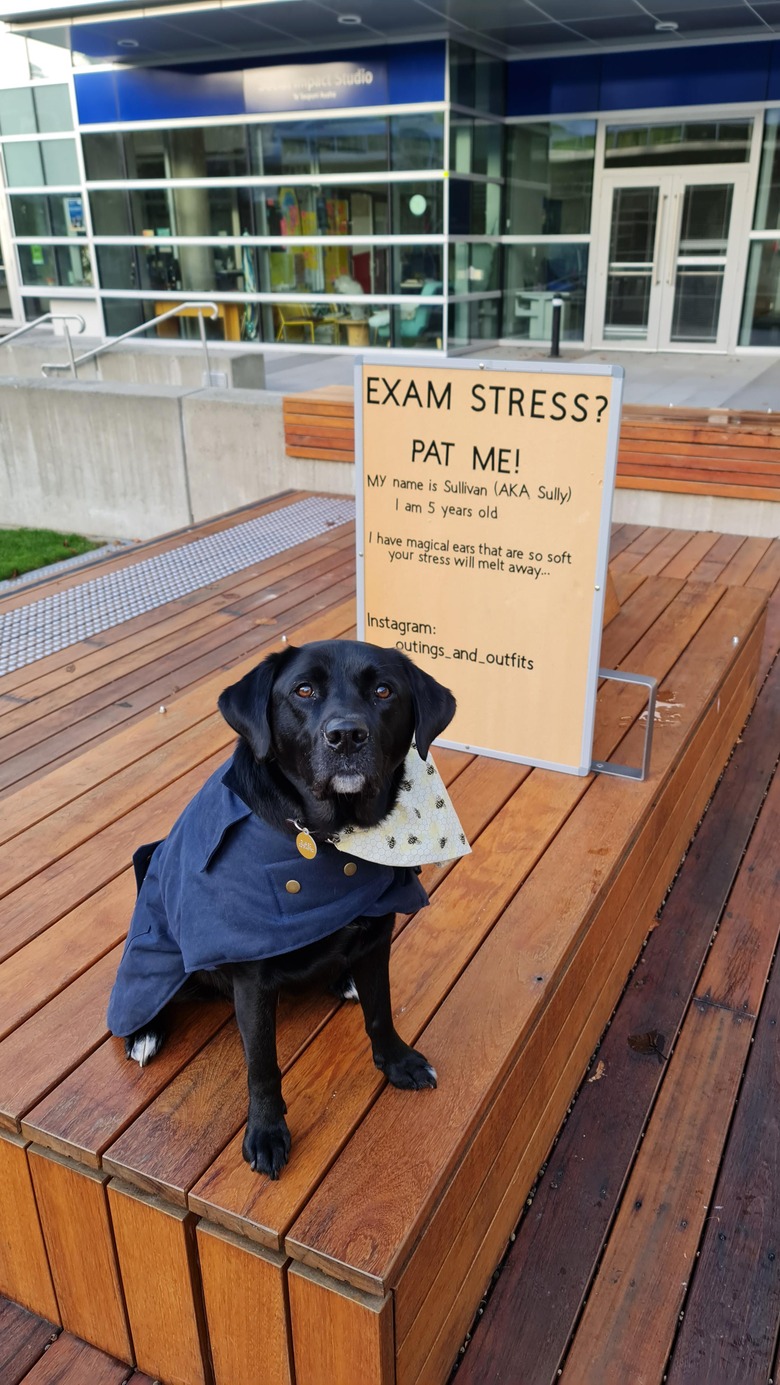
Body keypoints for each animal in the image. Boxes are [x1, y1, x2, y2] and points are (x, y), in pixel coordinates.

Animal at [106, 642, 454, 1174]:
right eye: (303, 690)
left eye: (383, 690)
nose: (346, 735)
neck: (328, 841)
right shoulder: (252, 979)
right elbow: (262, 1064)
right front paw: (267, 1133)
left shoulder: (376, 935)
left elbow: (380, 1010)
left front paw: (397, 1062)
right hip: (162, 953)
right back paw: (142, 1032)